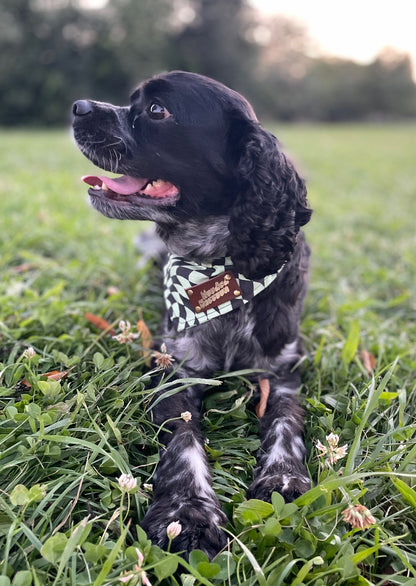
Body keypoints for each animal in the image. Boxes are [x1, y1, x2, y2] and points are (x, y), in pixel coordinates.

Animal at [72, 70, 312, 556]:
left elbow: (285, 422)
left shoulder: (283, 370)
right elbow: (183, 440)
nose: (77, 107)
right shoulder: (175, 370)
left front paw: (283, 479)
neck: (222, 269)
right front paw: (188, 512)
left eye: (156, 110)